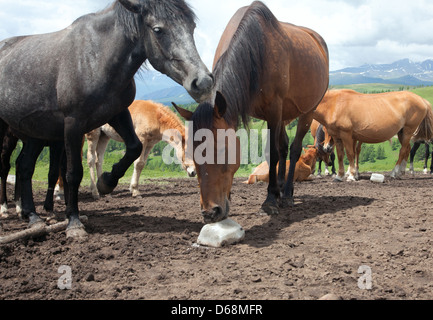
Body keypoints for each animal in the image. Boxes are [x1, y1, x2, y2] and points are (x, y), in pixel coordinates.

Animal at [0, 0, 213, 239]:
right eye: (158, 29)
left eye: (192, 27)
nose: (203, 82)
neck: (97, 57)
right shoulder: (73, 124)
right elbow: (74, 172)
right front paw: (74, 221)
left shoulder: (119, 115)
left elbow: (133, 150)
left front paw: (107, 182)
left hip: (36, 133)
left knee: (24, 166)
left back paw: (31, 215)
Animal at [172, 1, 328, 222]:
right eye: (191, 154)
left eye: (223, 150)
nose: (210, 212)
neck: (257, 49)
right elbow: (275, 152)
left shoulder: (274, 109)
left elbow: (271, 152)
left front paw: (270, 200)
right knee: (284, 147)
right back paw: (281, 188)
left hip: (307, 112)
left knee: (295, 148)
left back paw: (287, 194)